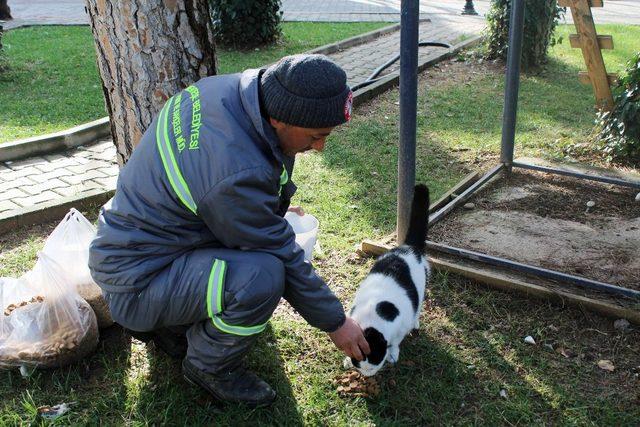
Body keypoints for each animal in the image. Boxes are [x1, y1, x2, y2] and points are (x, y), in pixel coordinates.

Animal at [344, 185, 430, 378]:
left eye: (374, 365)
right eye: (359, 365)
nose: (367, 375)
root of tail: (407, 248)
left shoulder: (401, 325)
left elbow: (396, 341)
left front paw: (393, 353)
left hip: (420, 289)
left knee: (418, 305)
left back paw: (416, 322)